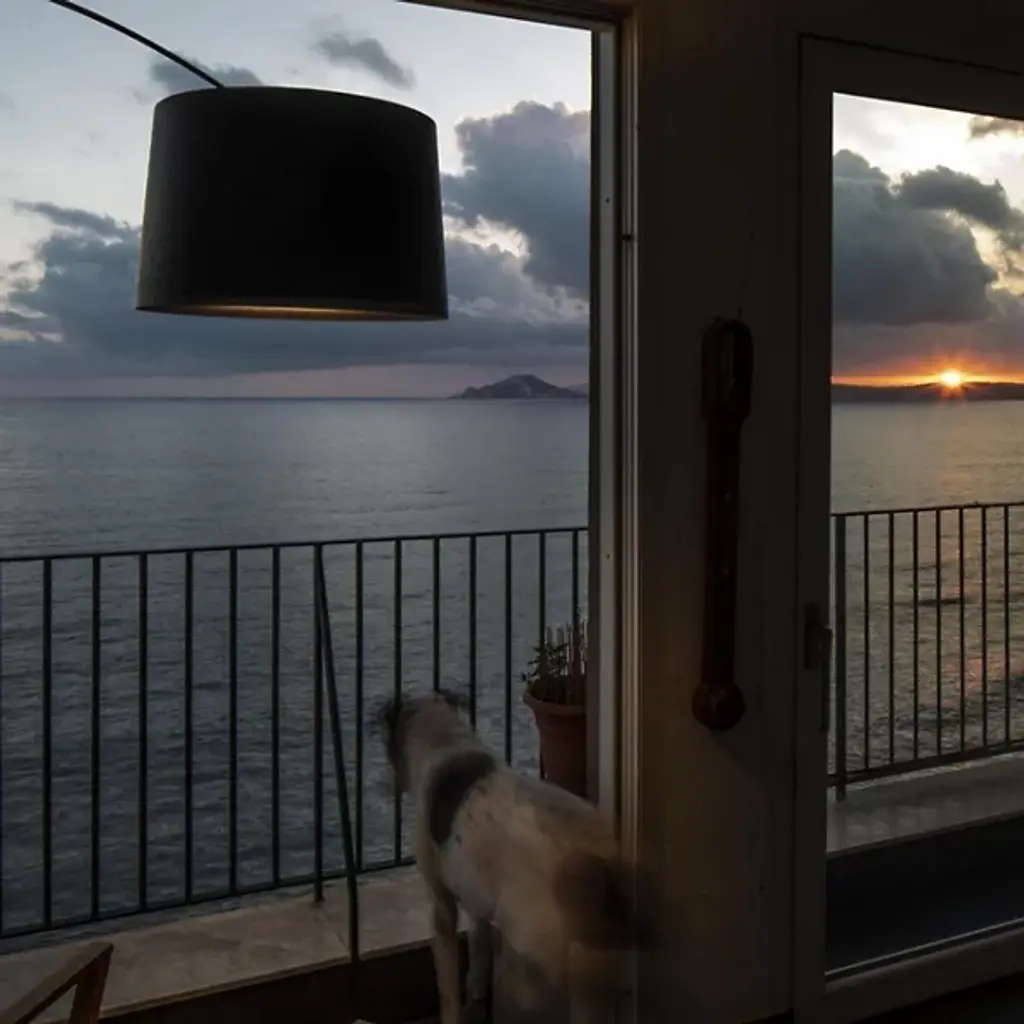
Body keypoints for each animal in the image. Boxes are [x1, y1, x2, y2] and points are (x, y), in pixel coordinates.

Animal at [379, 690, 646, 1024]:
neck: (447, 744)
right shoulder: (476, 898)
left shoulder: (441, 907)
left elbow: (448, 989)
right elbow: (478, 952)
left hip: (529, 962)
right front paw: (476, 994)